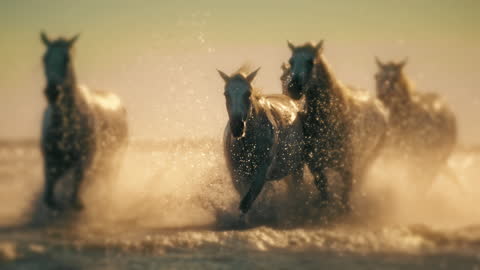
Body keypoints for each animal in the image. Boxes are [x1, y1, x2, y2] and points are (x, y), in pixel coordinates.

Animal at [40, 32, 128, 211]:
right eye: (44, 59)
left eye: (67, 58)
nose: (52, 92)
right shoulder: (51, 163)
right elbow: (50, 196)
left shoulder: (84, 163)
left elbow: (76, 197)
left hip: (114, 163)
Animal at [218, 67, 304, 213]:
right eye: (226, 94)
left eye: (248, 93)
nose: (237, 127)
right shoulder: (236, 174)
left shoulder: (261, 174)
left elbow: (247, 202)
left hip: (298, 167)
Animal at [282, 40, 386, 211]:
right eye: (291, 62)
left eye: (311, 61)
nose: (294, 88)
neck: (332, 118)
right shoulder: (317, 166)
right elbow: (324, 191)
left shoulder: (347, 167)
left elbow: (345, 195)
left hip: (368, 161)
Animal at [374, 58, 456, 191]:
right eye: (376, 76)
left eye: (395, 78)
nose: (380, 98)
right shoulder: (390, 156)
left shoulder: (409, 158)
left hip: (433, 162)